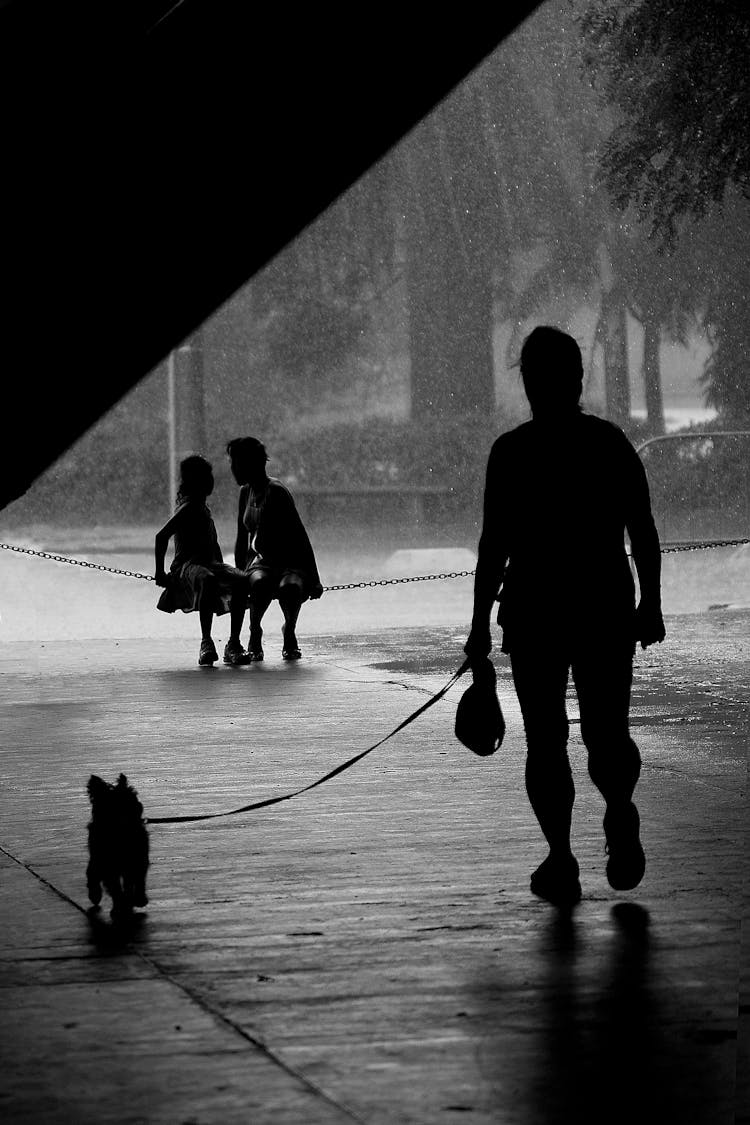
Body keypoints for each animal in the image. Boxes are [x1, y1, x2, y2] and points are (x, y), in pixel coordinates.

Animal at [86, 778, 149, 918]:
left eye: (130, 800)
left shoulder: (138, 860)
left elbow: (138, 881)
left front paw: (138, 899)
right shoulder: (109, 867)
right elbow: (115, 888)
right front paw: (120, 906)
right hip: (97, 861)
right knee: (92, 875)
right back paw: (95, 895)